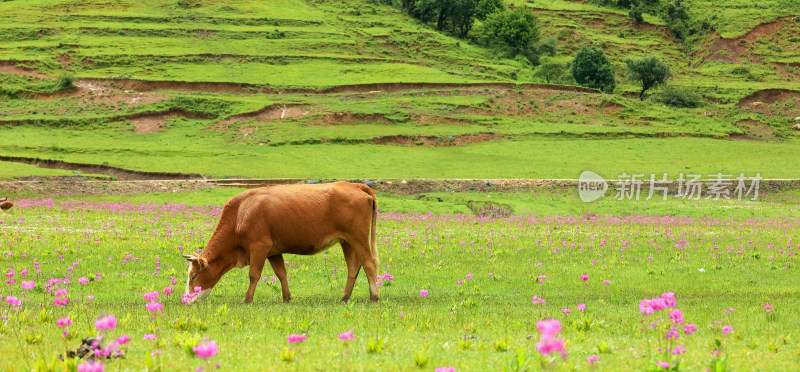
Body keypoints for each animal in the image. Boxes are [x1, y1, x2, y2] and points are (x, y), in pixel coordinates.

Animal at [183, 182, 380, 304]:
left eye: (193, 276)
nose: (184, 300)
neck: (240, 213)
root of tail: (354, 185)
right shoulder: (273, 251)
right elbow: (281, 274)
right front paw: (286, 297)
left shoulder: (259, 246)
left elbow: (253, 275)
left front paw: (247, 299)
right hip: (347, 241)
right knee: (353, 267)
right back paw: (344, 297)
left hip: (358, 238)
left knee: (369, 264)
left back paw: (374, 296)